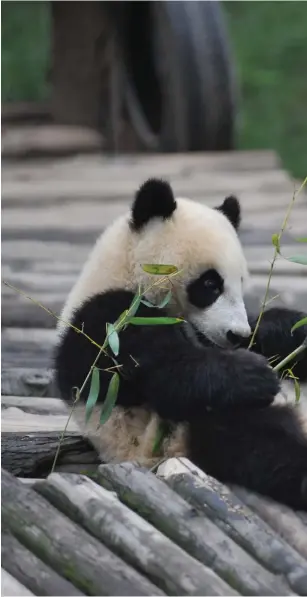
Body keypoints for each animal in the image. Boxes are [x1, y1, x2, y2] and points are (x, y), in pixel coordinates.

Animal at [54, 177, 307, 508]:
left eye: (240, 282)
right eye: (211, 284)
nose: (237, 335)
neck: (126, 272)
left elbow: (270, 332)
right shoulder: (108, 323)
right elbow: (168, 374)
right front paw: (254, 374)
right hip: (175, 437)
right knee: (250, 436)